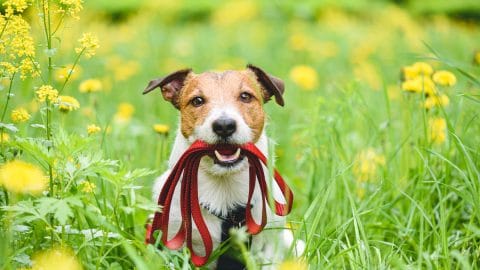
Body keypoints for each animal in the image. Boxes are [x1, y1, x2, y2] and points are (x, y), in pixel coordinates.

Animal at [143, 64, 300, 268]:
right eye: (197, 100)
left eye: (245, 96)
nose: (224, 125)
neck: (224, 188)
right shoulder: (174, 243)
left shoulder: (269, 247)